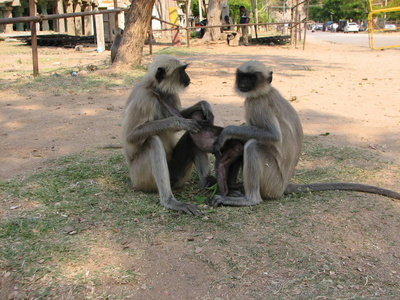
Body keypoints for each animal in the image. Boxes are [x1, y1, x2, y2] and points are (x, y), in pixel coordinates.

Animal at [122, 54, 216, 216]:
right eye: (182, 71)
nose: (188, 77)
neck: (155, 88)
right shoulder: (143, 98)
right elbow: (130, 136)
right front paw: (179, 122)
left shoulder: (170, 95)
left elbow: (185, 113)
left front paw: (204, 105)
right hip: (140, 178)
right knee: (153, 141)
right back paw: (169, 201)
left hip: (177, 174)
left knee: (194, 136)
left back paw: (207, 183)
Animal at [209, 59, 400, 207]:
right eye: (242, 76)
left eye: (251, 78)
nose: (243, 84)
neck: (265, 91)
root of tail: (284, 186)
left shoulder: (257, 104)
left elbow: (272, 135)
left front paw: (227, 132)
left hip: (273, 182)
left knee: (253, 145)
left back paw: (250, 199)